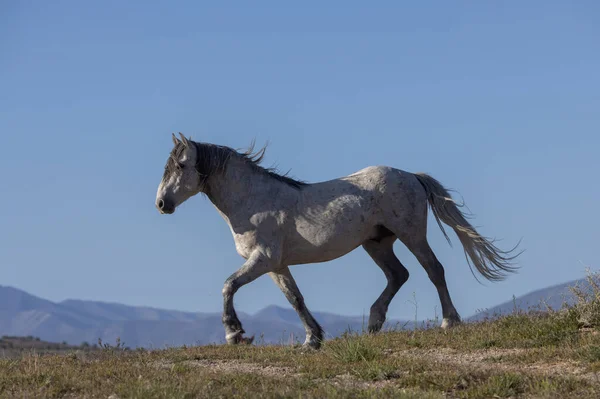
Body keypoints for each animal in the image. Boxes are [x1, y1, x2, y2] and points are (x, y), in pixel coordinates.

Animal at [155, 134, 520, 350]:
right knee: (398, 275)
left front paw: (234, 333)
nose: (162, 204)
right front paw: (312, 340)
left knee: (434, 269)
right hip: (376, 243)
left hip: (411, 234)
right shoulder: (276, 265)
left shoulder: (263, 259)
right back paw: (373, 324)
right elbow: (295, 299)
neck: (253, 200)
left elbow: (228, 285)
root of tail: (412, 176)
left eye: (182, 165)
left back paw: (449, 321)